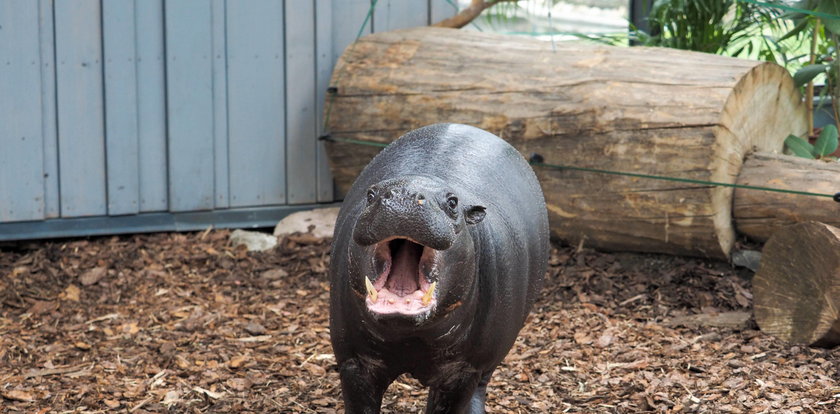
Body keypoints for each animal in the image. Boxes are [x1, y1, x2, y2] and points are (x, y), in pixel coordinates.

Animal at [328, 123, 552, 414]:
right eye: (370, 194)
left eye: (453, 202)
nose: (404, 195)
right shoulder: (354, 362)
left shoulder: (463, 370)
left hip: (491, 354)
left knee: (482, 384)